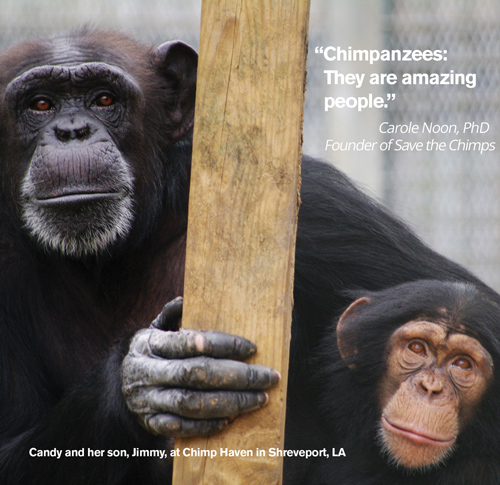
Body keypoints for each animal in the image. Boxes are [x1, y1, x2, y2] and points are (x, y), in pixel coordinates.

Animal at [0, 28, 498, 482]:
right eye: (40, 105)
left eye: (104, 99)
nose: (72, 131)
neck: (115, 252)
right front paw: (147, 375)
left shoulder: (325, 212)